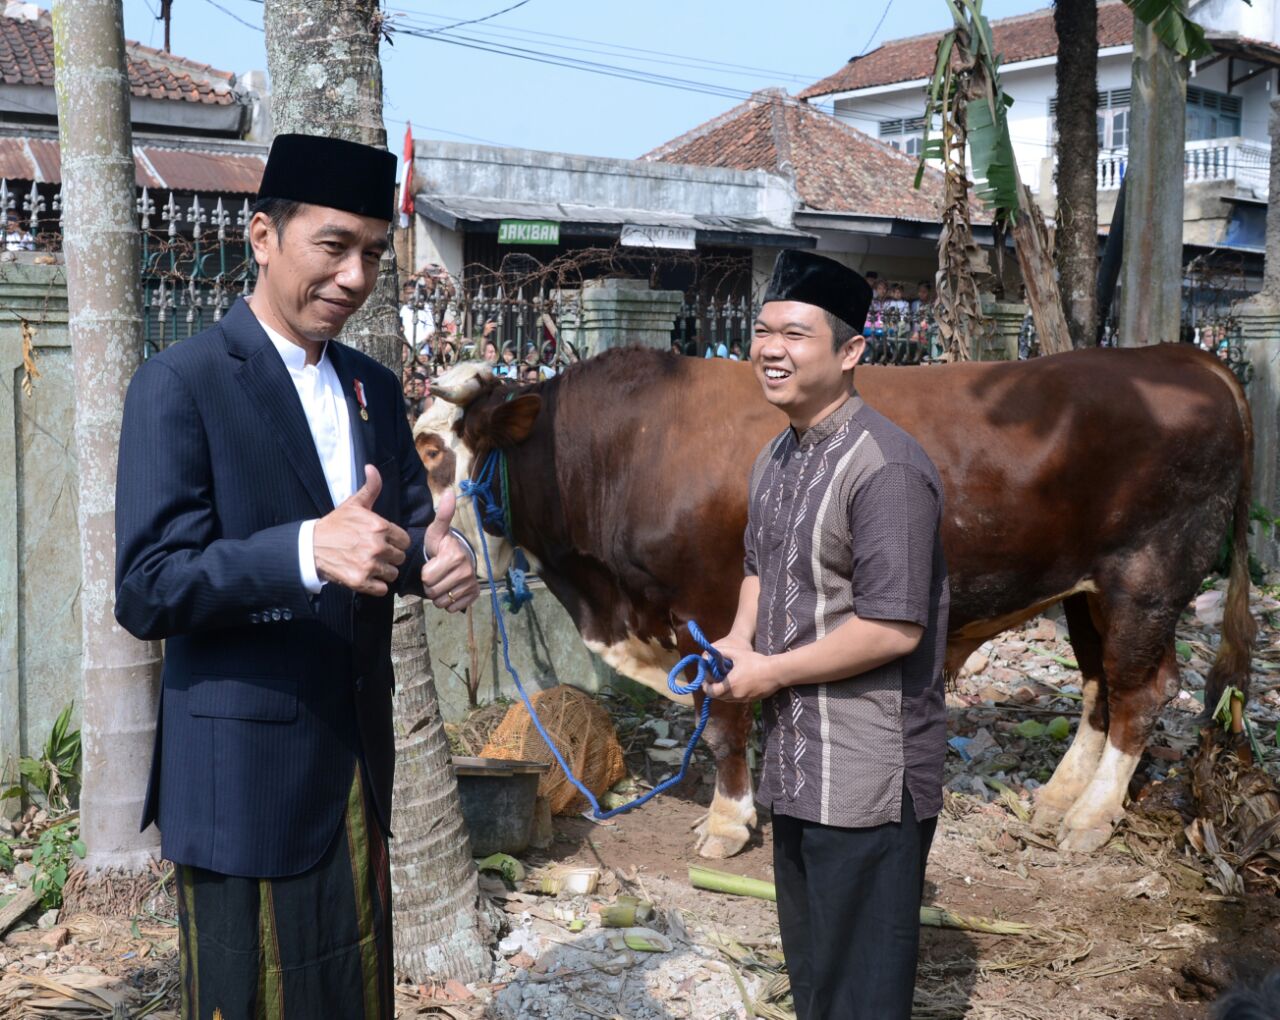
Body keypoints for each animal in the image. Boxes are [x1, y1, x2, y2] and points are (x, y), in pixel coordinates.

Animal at [435, 345, 1254, 854]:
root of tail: (1187, 357)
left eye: (435, 449)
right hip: (1084, 589)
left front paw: (728, 822)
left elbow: (726, 724)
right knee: (1098, 688)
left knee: (1141, 691)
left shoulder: (712, 607)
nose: (424, 552)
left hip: (1145, 578)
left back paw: (1090, 818)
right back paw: (1059, 798)